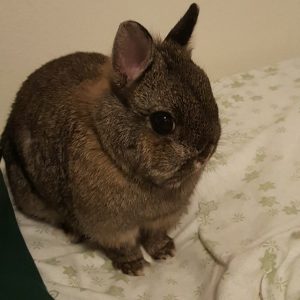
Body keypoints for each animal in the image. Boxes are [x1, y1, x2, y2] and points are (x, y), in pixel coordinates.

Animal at [0, 2, 220, 276]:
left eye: (211, 96)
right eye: (162, 121)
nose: (206, 150)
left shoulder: (159, 220)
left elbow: (155, 236)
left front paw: (165, 251)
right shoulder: (112, 229)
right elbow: (123, 246)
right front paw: (135, 267)